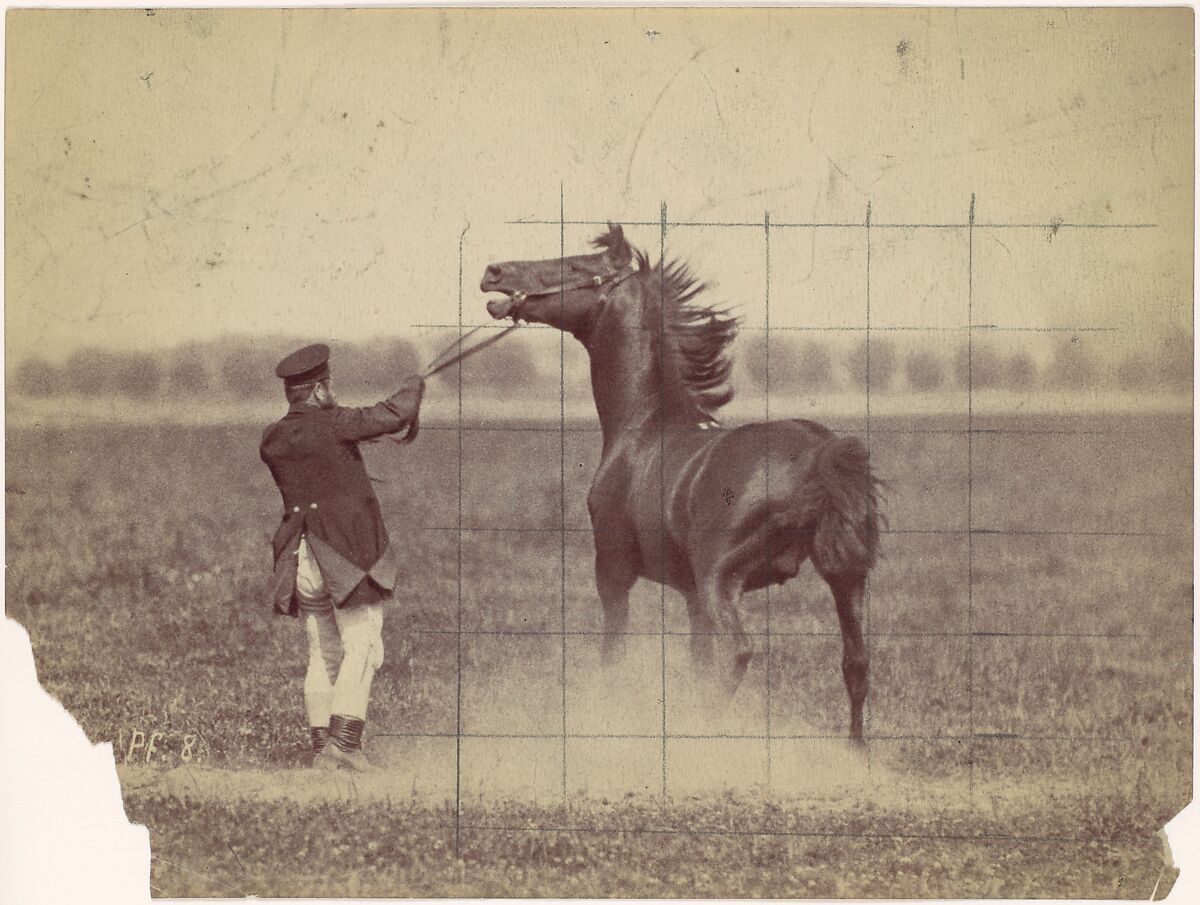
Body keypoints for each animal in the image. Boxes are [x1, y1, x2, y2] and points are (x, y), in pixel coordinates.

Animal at [477, 222, 883, 744]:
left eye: (576, 266)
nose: (494, 273)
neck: (644, 427)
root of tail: (819, 454)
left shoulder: (613, 573)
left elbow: (615, 656)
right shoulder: (691, 596)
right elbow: (697, 662)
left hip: (722, 579)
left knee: (740, 655)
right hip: (845, 577)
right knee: (856, 663)